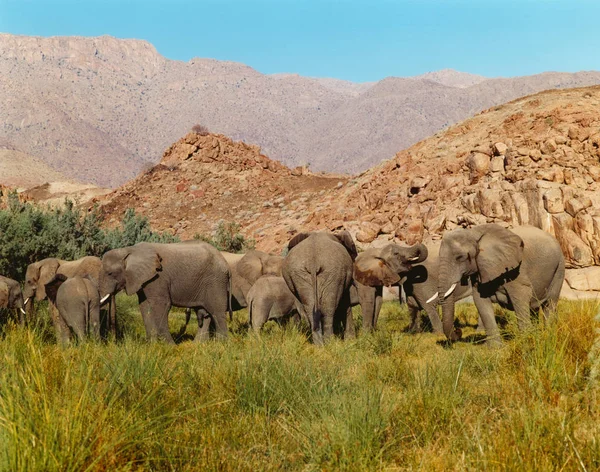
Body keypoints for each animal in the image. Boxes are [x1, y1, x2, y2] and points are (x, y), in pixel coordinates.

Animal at [99, 242, 231, 342]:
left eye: (110, 273)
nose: (113, 341)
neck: (129, 250)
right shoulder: (144, 280)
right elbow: (144, 307)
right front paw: (152, 345)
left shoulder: (158, 277)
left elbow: (161, 305)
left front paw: (169, 346)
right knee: (205, 313)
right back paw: (198, 344)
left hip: (216, 280)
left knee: (217, 312)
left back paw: (221, 344)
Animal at [434, 223, 564, 344]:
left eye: (460, 257)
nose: (458, 331)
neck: (474, 232)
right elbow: (481, 303)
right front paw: (495, 348)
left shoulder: (515, 270)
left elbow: (521, 299)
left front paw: (527, 342)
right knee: (534, 307)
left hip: (559, 268)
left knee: (550, 303)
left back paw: (548, 336)